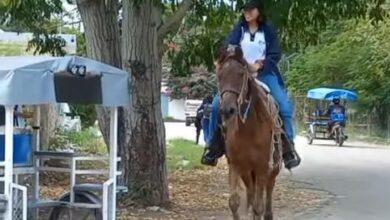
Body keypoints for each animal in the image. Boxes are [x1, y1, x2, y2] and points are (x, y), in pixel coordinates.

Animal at [215, 45, 282, 219]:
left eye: (240, 74)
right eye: (220, 76)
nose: (227, 110)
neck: (248, 131)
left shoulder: (262, 167)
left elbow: (258, 206)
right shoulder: (236, 165)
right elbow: (234, 202)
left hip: (272, 170)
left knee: (268, 191)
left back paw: (268, 213)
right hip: (247, 172)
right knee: (251, 194)